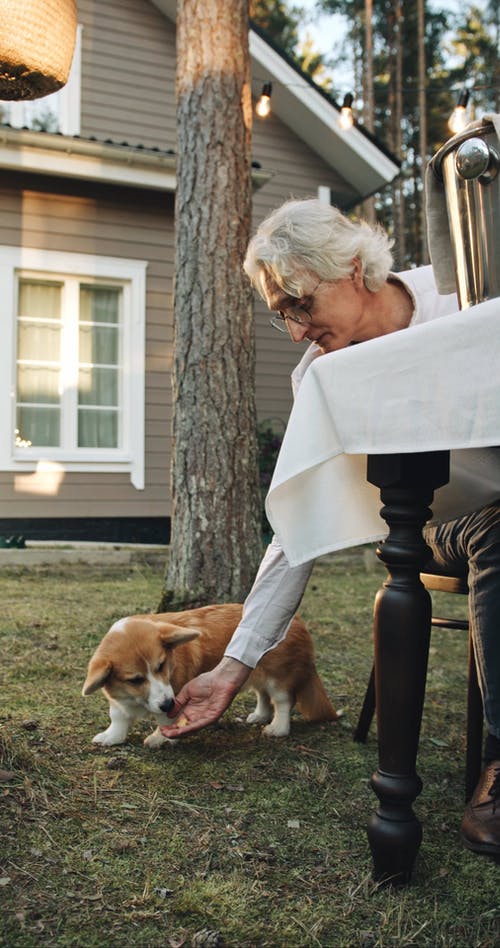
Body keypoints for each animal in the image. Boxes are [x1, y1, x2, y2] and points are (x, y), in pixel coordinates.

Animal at [82, 600, 338, 748]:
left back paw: (278, 728)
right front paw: (112, 737)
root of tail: (297, 620)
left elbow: (166, 720)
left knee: (283, 701)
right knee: (262, 695)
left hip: (278, 677)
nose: (167, 703)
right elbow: (118, 717)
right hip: (254, 672)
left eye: (161, 666)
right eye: (135, 680)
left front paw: (161, 738)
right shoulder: (120, 701)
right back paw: (260, 715)